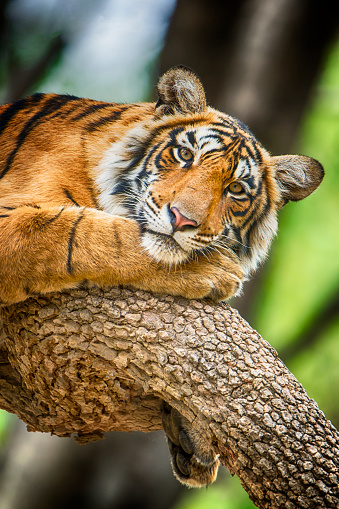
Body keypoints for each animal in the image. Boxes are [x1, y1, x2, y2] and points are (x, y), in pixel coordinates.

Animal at [0, 65, 324, 486]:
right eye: (185, 155)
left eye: (236, 189)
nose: (182, 219)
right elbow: (82, 231)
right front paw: (215, 270)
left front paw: (194, 439)